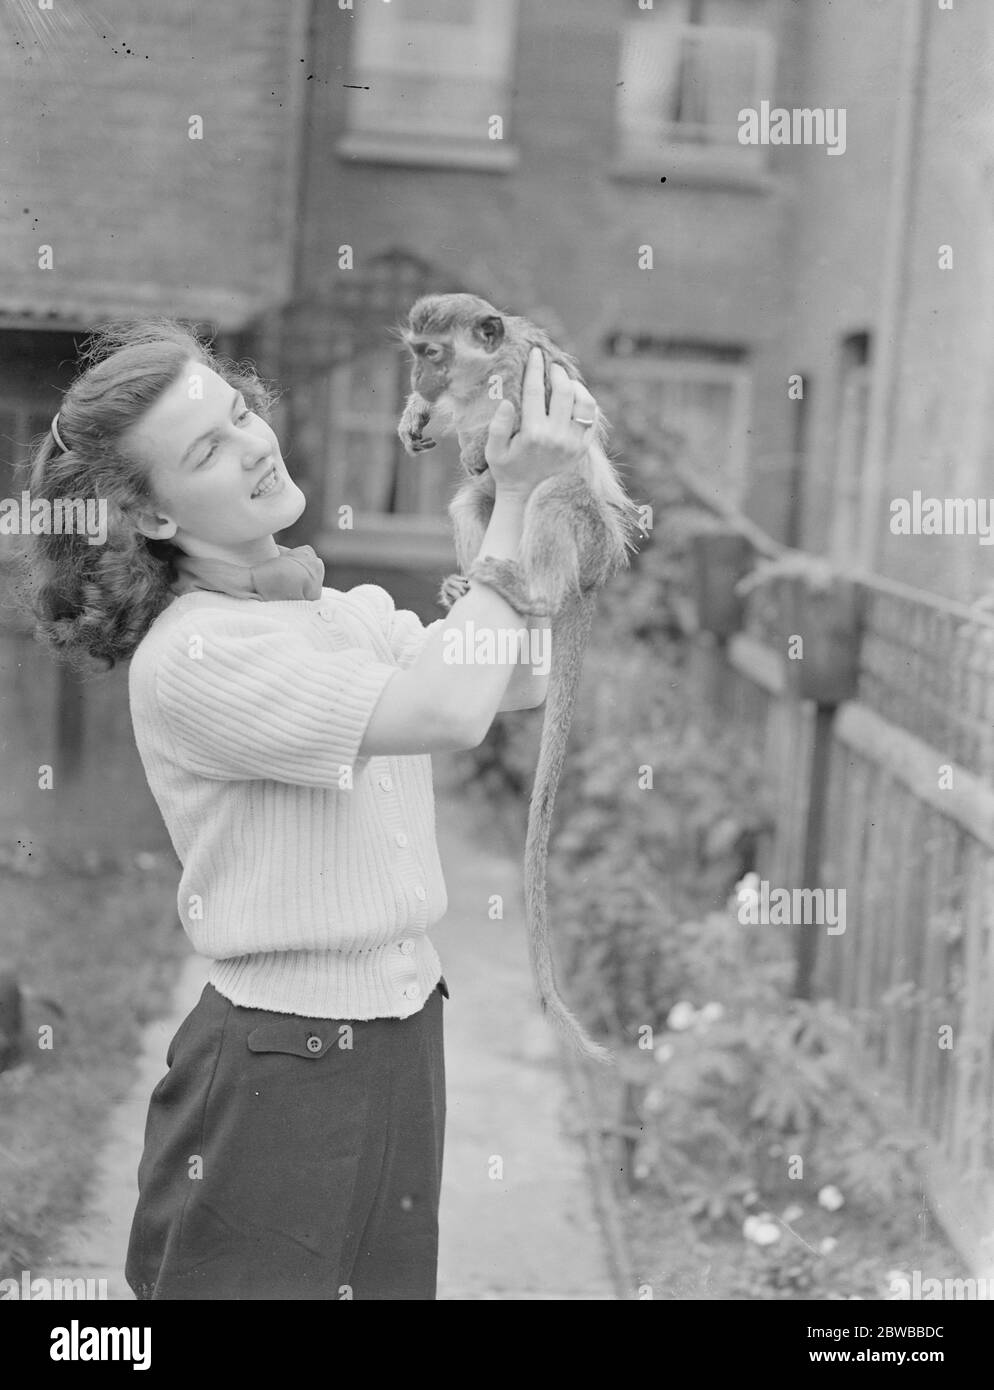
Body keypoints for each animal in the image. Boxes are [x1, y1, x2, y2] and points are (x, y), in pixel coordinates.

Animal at [397, 293, 645, 1061]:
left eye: (433, 352)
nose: (419, 382)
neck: (482, 378)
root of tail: (591, 578)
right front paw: (417, 418)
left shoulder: (528, 377)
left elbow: (510, 437)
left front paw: (472, 434)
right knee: (471, 501)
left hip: (589, 539)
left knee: (552, 493)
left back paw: (531, 593)